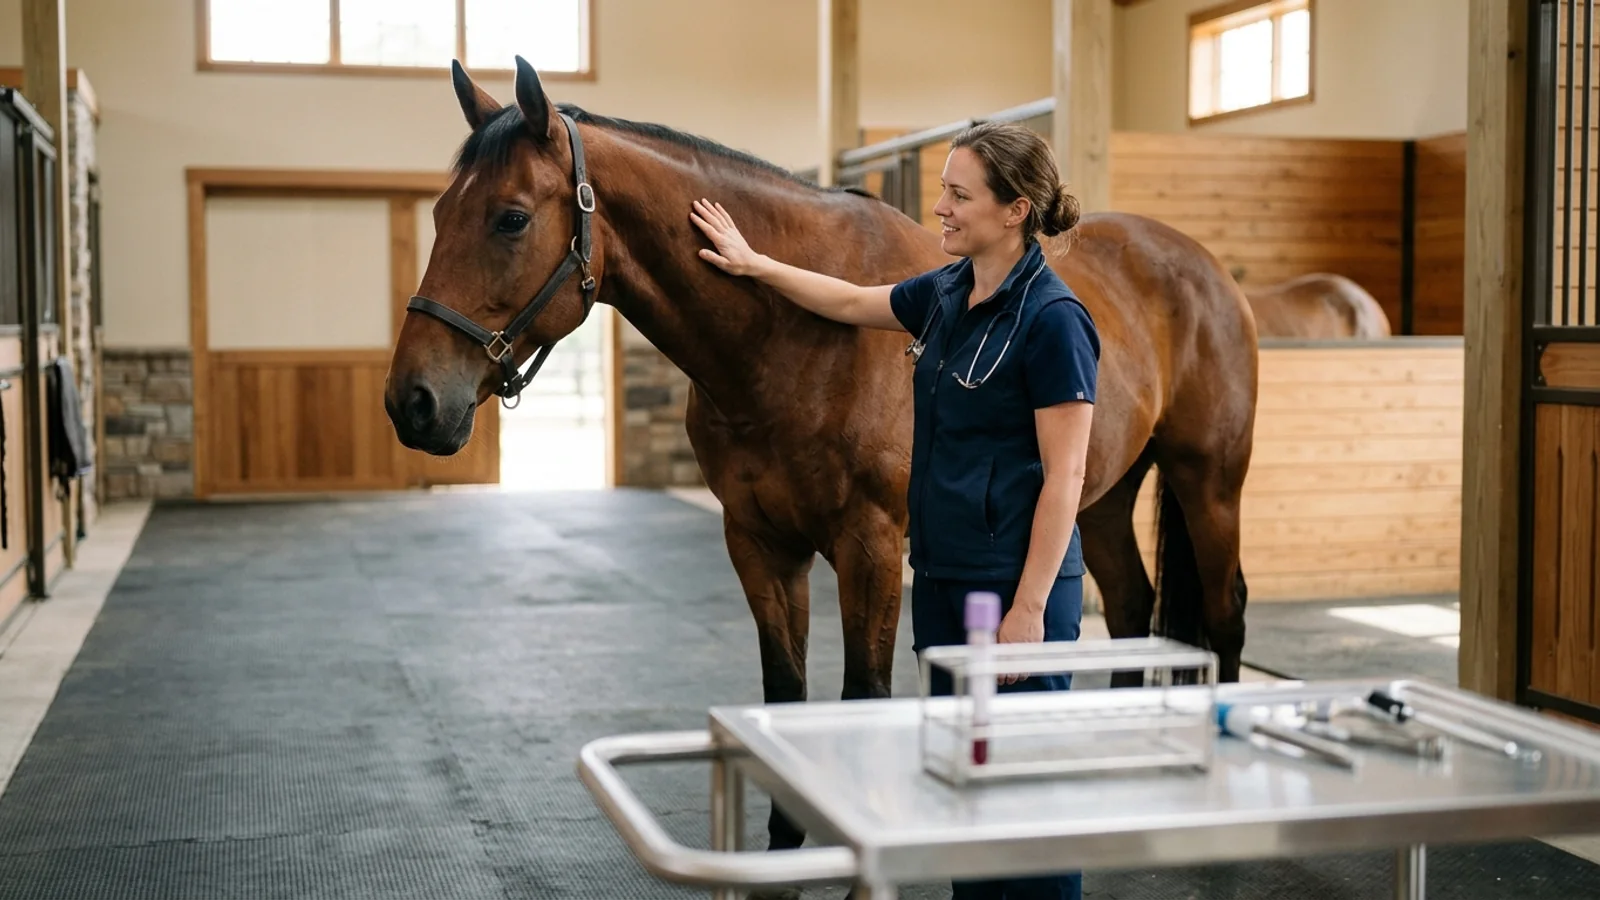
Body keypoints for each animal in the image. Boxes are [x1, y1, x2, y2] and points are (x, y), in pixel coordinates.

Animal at [384, 58, 1258, 854]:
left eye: (509, 219)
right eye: (441, 211)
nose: (412, 402)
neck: (791, 336)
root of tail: (1203, 266)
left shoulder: (869, 545)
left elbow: (861, 693)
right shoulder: (759, 541)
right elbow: (784, 691)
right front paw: (785, 843)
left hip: (1209, 484)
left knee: (1224, 611)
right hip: (1099, 498)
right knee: (1135, 608)